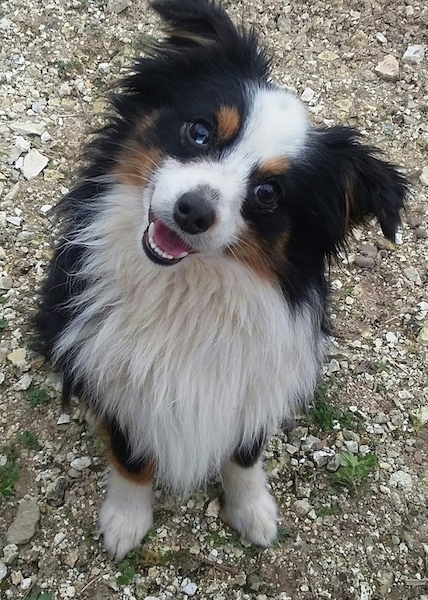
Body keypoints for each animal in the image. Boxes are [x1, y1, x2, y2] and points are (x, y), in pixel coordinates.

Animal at [35, 1, 406, 564]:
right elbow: (130, 455)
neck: (187, 288)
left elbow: (244, 453)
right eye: (200, 132)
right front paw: (126, 520)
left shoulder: (254, 381)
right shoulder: (116, 374)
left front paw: (253, 512)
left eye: (269, 193)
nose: (193, 211)